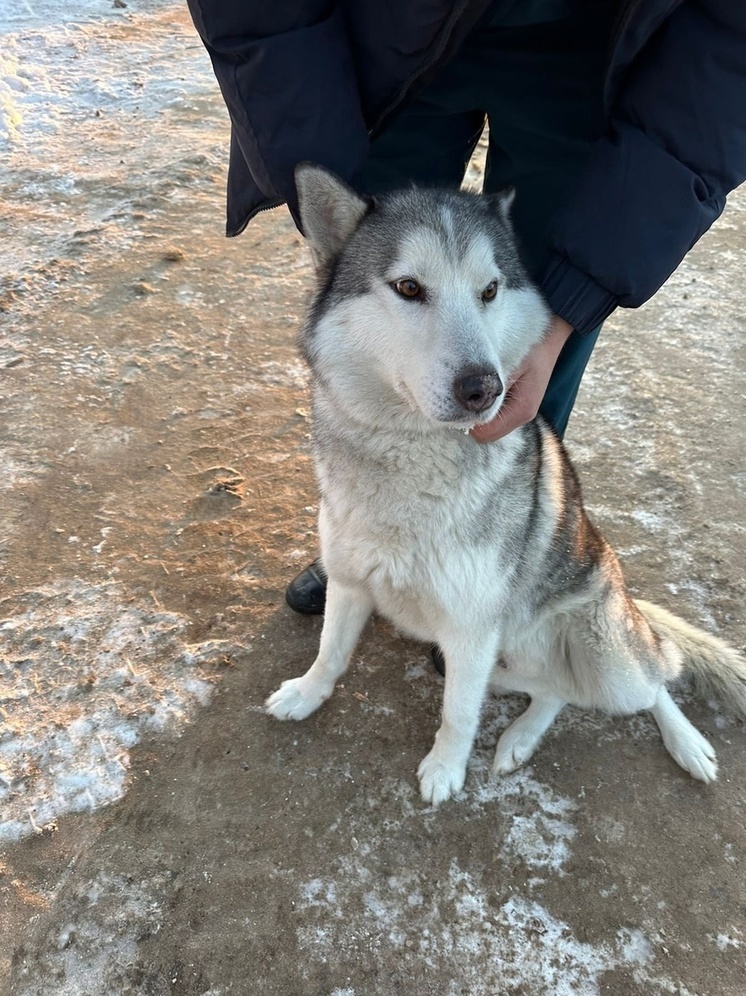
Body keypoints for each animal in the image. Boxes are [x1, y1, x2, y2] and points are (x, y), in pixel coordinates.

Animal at [264, 161, 740, 800]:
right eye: (409, 288)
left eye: (489, 292)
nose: (483, 388)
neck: (411, 455)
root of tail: (624, 596)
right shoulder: (349, 582)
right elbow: (330, 653)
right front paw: (306, 694)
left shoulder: (469, 633)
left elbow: (456, 714)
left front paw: (444, 771)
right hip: (500, 660)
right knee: (555, 691)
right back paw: (519, 741)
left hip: (602, 661)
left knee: (654, 680)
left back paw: (687, 745)